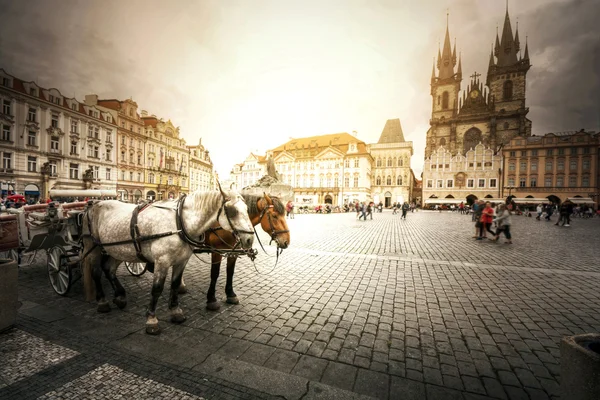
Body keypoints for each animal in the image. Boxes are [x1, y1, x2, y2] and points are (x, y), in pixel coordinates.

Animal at [81, 188, 254, 334]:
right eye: (233, 211)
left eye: (247, 210)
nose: (250, 239)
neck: (179, 222)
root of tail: (93, 205)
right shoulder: (162, 262)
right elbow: (157, 289)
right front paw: (151, 320)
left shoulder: (181, 261)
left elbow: (175, 285)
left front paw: (175, 311)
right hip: (94, 248)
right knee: (97, 273)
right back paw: (102, 302)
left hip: (118, 250)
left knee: (109, 269)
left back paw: (120, 296)